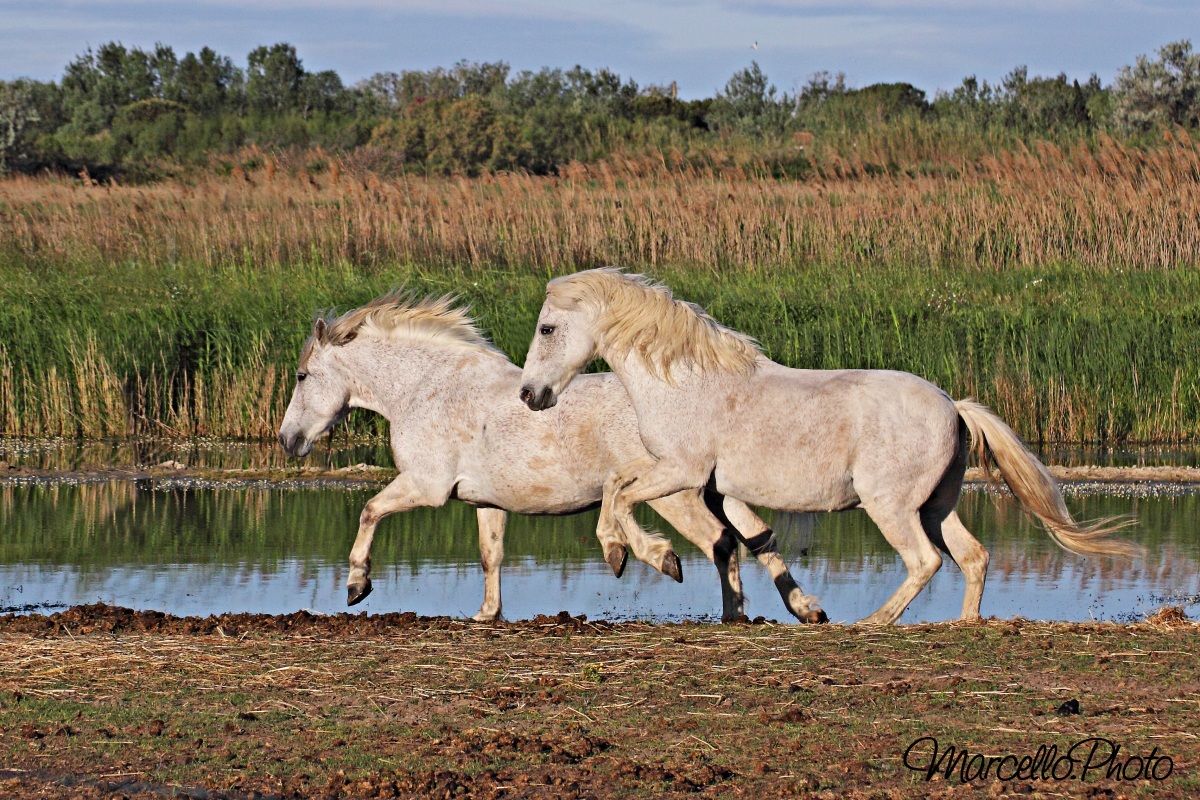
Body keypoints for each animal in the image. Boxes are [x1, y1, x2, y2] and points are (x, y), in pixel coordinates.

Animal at [276, 290, 825, 623]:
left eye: (302, 376)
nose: (287, 440)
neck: (426, 390)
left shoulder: (424, 487)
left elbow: (369, 511)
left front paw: (356, 585)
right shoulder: (485, 502)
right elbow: (490, 554)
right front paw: (487, 615)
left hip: (677, 497)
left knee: (721, 542)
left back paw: (700, 591)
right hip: (716, 490)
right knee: (757, 539)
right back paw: (804, 609)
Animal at [518, 268, 1142, 624]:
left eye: (547, 329)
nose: (530, 395)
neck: (684, 382)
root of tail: (953, 407)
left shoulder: (681, 473)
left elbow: (618, 495)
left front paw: (638, 555)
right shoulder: (705, 485)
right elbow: (731, 537)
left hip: (891, 507)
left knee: (926, 561)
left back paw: (873, 623)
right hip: (936, 506)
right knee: (972, 556)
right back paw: (963, 625)